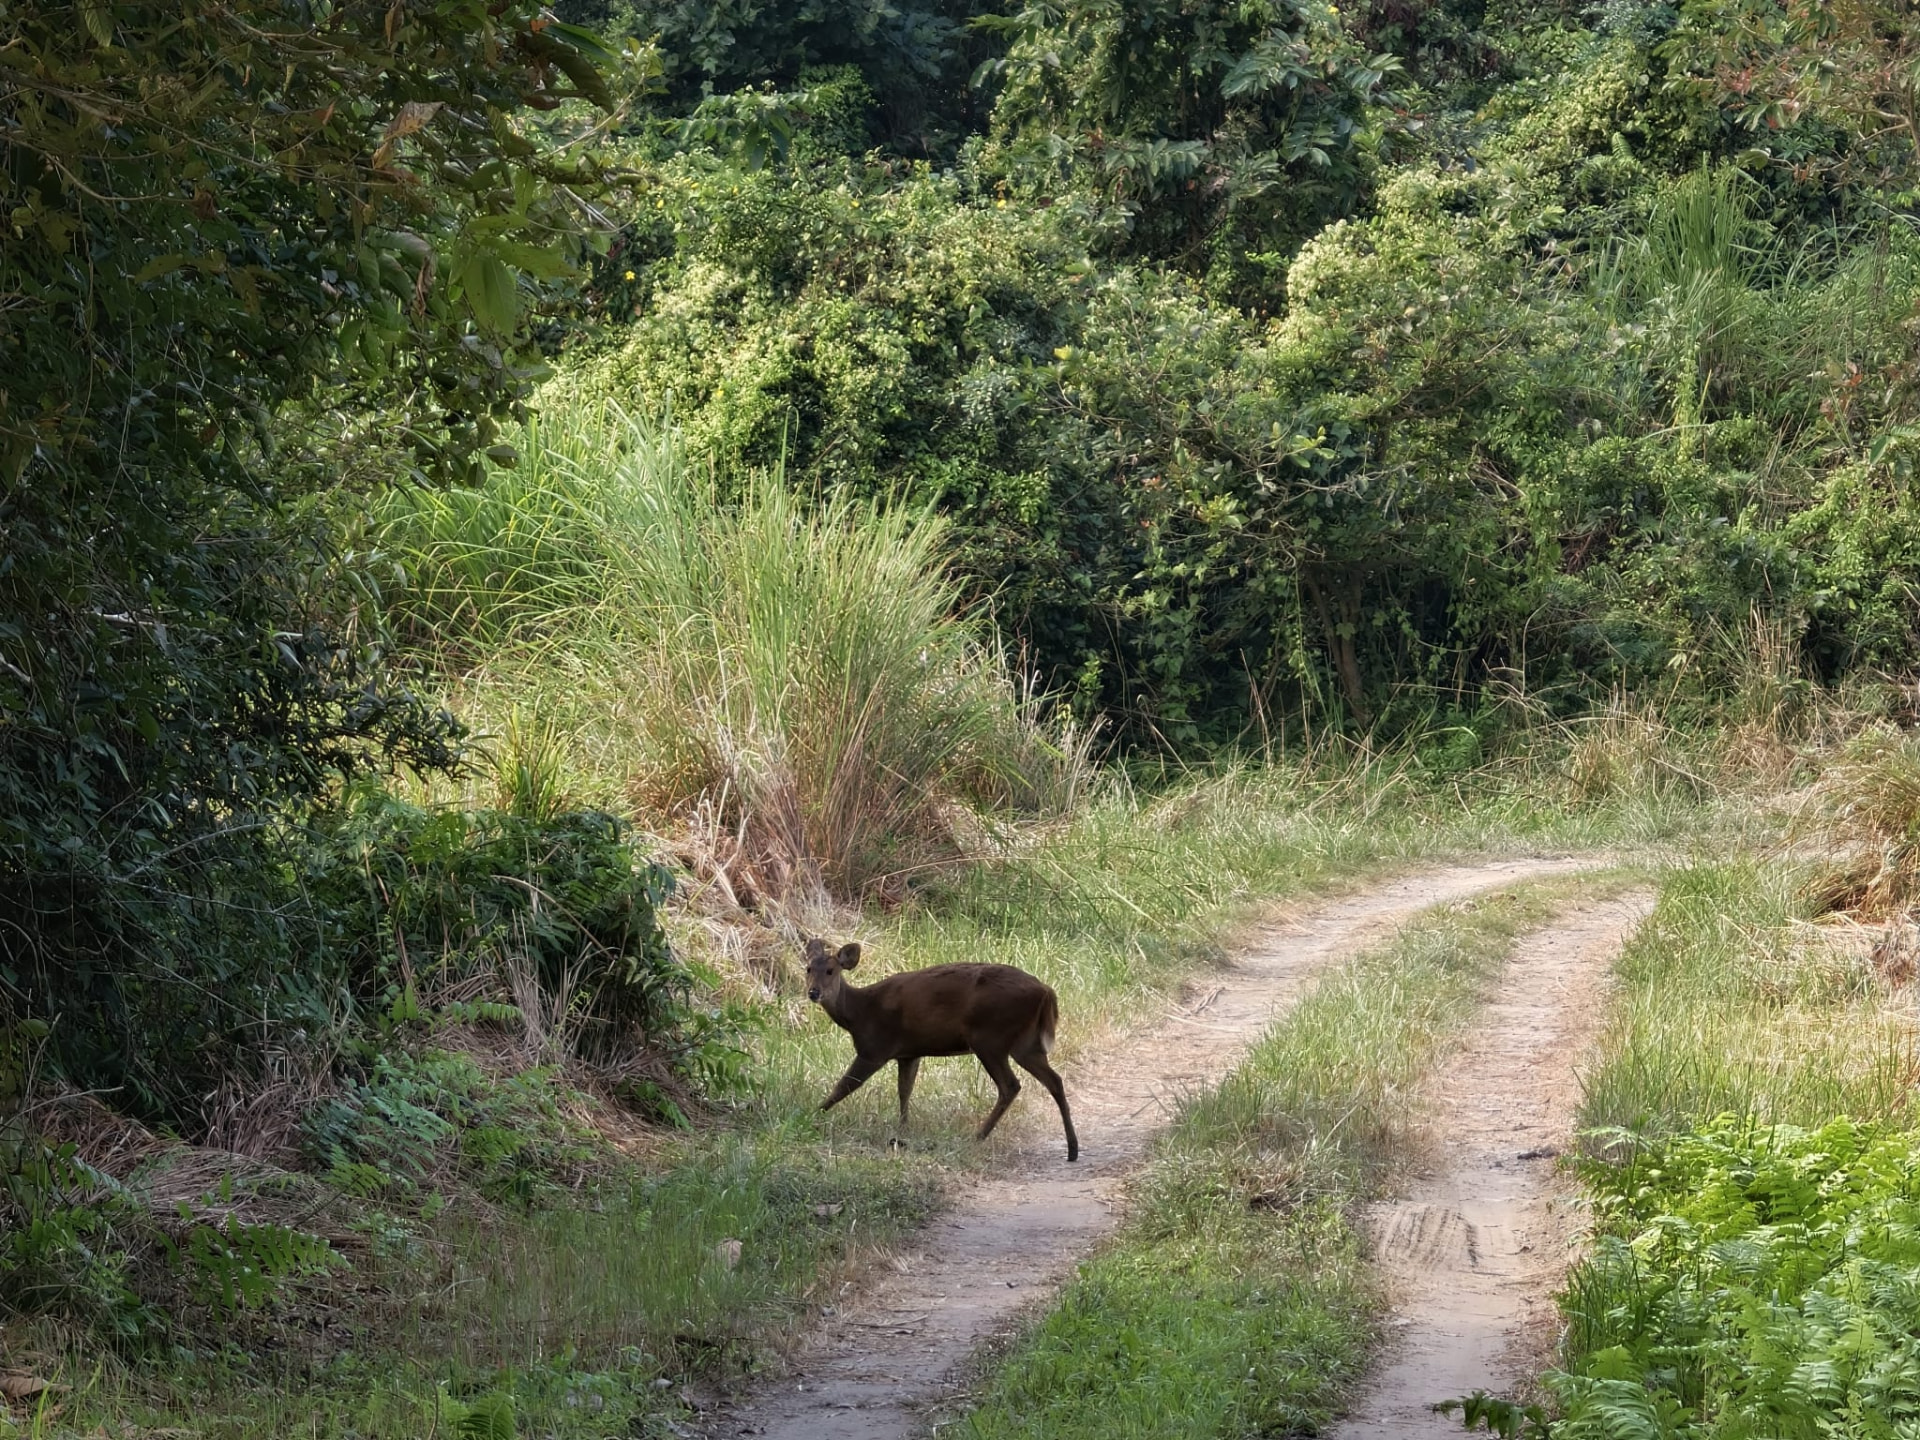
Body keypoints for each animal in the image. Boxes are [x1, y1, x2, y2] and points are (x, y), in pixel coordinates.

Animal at [803, 938, 1078, 1162]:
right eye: (808, 969)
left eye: (830, 970)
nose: (813, 992)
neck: (858, 1015)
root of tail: (1047, 992)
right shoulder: (908, 1053)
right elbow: (904, 1091)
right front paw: (902, 1130)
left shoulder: (874, 1048)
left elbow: (844, 1086)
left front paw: (809, 1115)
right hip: (1026, 1044)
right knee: (1054, 1080)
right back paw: (1072, 1149)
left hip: (990, 1037)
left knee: (1010, 1085)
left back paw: (978, 1136)